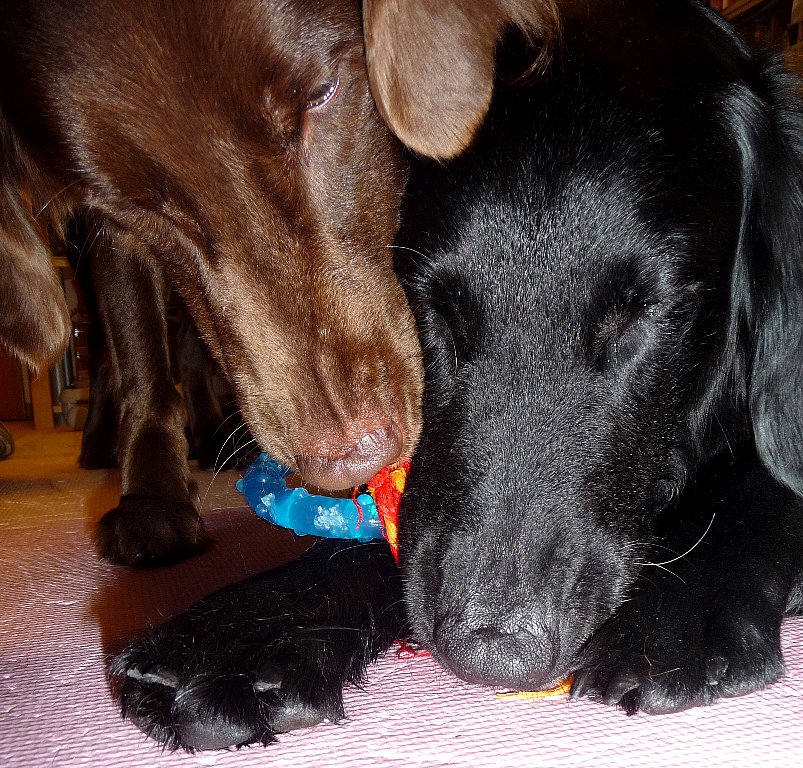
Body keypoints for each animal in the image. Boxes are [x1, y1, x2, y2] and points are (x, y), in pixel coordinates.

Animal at [113, 0, 803, 751]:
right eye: (428, 309)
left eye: (643, 316)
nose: (491, 648)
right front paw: (244, 631)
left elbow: (763, 478)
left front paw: (678, 607)